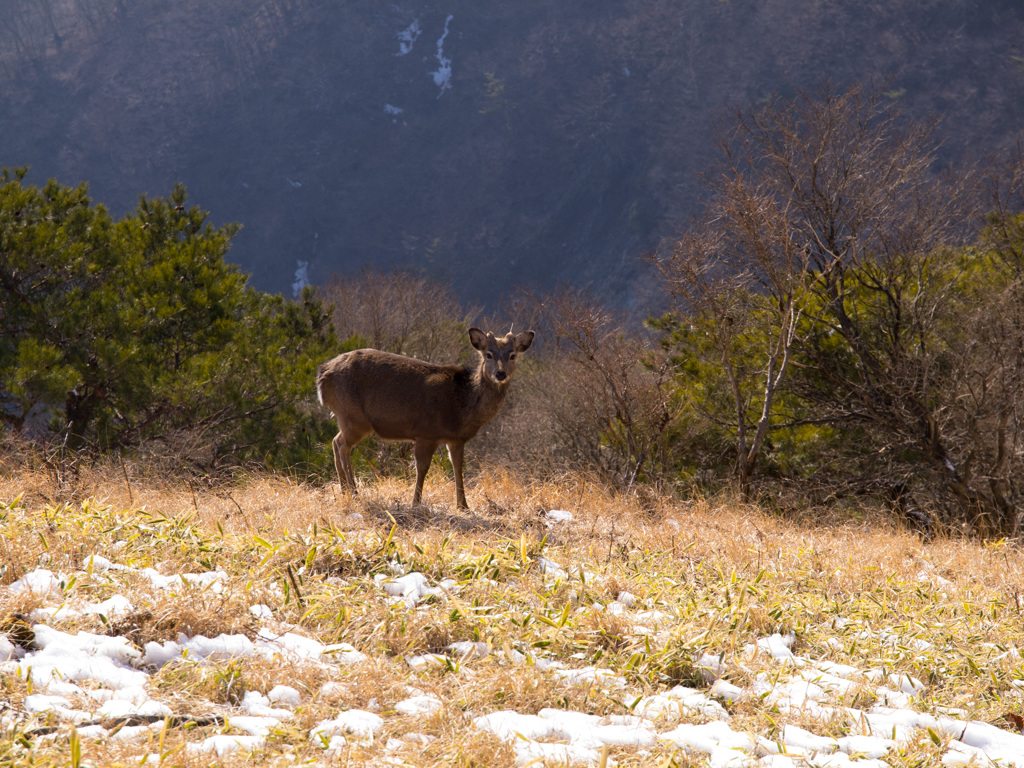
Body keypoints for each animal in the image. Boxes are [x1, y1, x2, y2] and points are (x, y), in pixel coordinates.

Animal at [315, 325, 536, 512]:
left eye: (512, 355)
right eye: (488, 354)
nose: (500, 373)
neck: (463, 404)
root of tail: (323, 374)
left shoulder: (456, 439)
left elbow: (458, 467)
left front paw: (463, 505)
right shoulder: (426, 433)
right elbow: (422, 468)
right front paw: (416, 502)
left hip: (347, 418)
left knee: (335, 441)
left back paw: (344, 490)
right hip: (353, 416)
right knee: (342, 446)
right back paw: (353, 491)